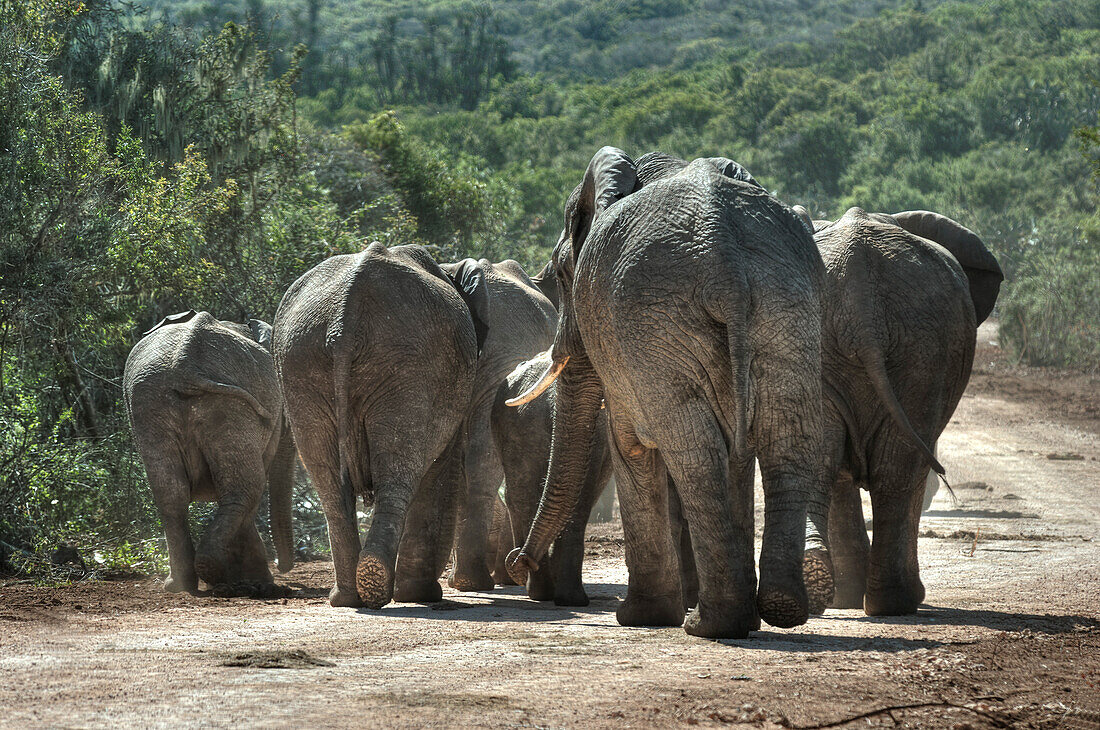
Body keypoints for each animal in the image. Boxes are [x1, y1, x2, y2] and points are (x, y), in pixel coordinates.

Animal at [123, 310, 294, 598]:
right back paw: (219, 576)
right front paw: (261, 584)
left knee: (171, 495)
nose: (284, 566)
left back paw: (182, 584)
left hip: (151, 403)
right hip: (228, 405)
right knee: (248, 489)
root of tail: (184, 365)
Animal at [275, 241, 490, 606]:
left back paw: (352, 594)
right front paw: (421, 595)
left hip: (303, 363)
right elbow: (442, 470)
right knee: (398, 474)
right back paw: (382, 587)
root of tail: (343, 322)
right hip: (405, 363)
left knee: (332, 484)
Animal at [503, 149, 822, 637]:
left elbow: (629, 444)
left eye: (561, 273)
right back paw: (779, 608)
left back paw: (709, 624)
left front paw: (641, 617)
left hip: (654, 324)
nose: (518, 564)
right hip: (786, 310)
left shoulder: (622, 344)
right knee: (785, 439)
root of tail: (726, 262)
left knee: (694, 451)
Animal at [800, 206, 1007, 615]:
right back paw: (897, 602)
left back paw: (835, 588)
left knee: (832, 461)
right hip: (924, 345)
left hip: (914, 343)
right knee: (901, 469)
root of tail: (858, 291)